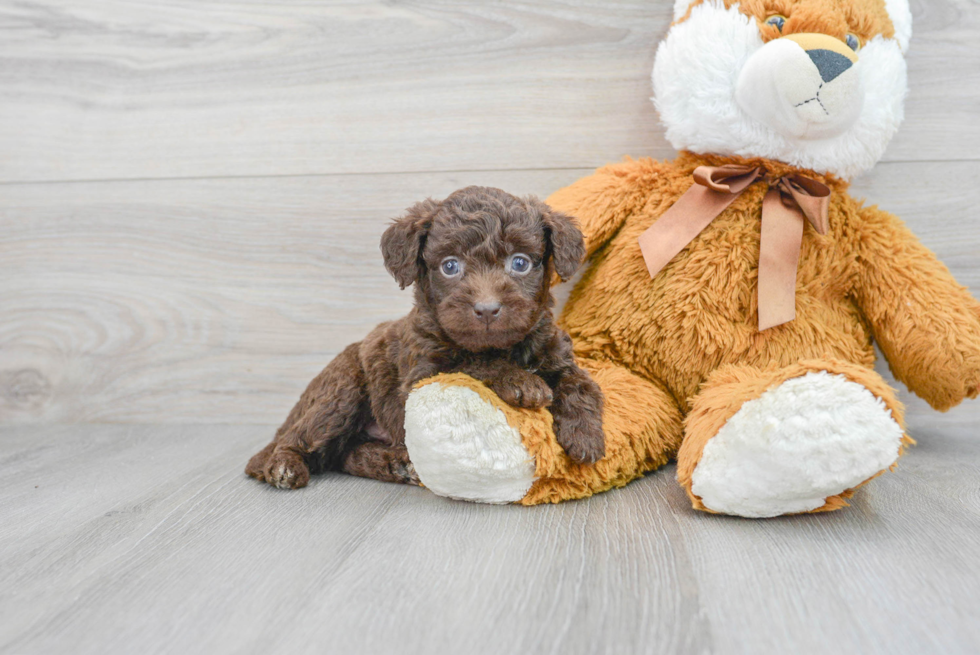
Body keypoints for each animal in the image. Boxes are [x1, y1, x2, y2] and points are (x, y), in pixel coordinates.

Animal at [243, 187, 604, 490]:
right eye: (450, 266)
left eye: (520, 263)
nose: (487, 309)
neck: (501, 347)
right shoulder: (423, 374)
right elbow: (471, 364)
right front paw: (521, 382)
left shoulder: (555, 353)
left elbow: (582, 384)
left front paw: (586, 437)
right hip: (340, 391)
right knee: (299, 441)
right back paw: (284, 466)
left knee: (345, 455)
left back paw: (396, 464)